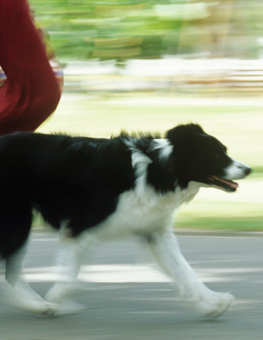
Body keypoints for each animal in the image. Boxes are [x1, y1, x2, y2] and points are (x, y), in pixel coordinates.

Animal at [0, 125, 252, 318]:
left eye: (225, 150)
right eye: (216, 155)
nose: (249, 169)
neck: (158, 169)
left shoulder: (155, 232)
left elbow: (185, 271)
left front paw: (214, 302)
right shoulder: (79, 228)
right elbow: (69, 275)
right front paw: (59, 298)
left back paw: (37, 305)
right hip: (17, 219)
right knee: (11, 272)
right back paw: (37, 306)